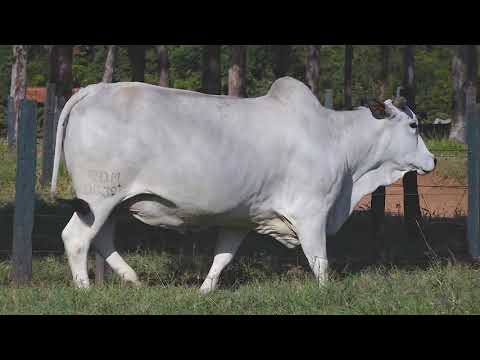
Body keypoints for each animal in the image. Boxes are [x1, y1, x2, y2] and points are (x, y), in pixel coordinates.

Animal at [50, 76, 436, 292]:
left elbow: (222, 258)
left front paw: (204, 291)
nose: (432, 161)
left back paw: (133, 280)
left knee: (102, 239)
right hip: (98, 198)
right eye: (413, 125)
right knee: (76, 238)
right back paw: (85, 289)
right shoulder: (311, 214)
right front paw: (327, 292)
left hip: (113, 204)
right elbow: (320, 262)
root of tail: (93, 90)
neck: (337, 141)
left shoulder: (241, 218)